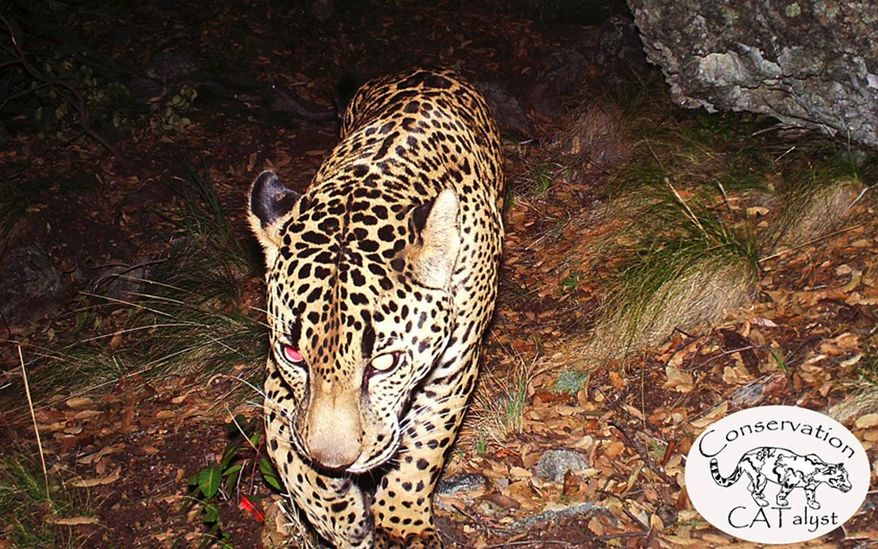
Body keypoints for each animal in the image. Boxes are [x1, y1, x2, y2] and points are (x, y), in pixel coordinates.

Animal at [247, 68, 504, 548]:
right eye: (294, 355)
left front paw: (403, 525)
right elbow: (285, 448)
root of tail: (421, 68)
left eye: (384, 363)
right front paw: (340, 516)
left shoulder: (454, 367)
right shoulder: (276, 377)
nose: (335, 462)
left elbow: (422, 448)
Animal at [710, 446, 852, 510]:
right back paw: (762, 502)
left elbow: (811, 496)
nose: (850, 486)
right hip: (760, 478)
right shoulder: (789, 482)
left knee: (750, 488)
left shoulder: (810, 487)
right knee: (753, 492)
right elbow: (783, 493)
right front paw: (781, 502)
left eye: (847, 476)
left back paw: (761, 496)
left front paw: (813, 504)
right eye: (840, 477)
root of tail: (744, 456)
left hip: (760, 479)